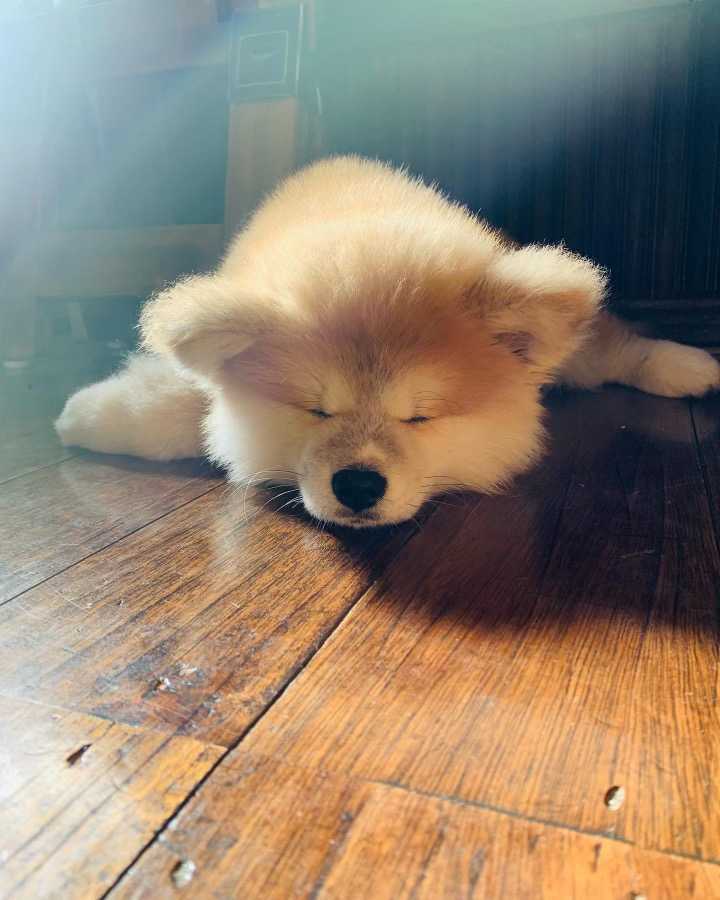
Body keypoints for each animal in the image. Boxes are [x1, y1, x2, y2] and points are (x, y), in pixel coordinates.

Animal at [56, 156, 720, 527]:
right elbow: (175, 404)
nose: (358, 484)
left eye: (419, 417)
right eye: (317, 410)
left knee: (609, 349)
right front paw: (91, 414)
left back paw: (690, 365)